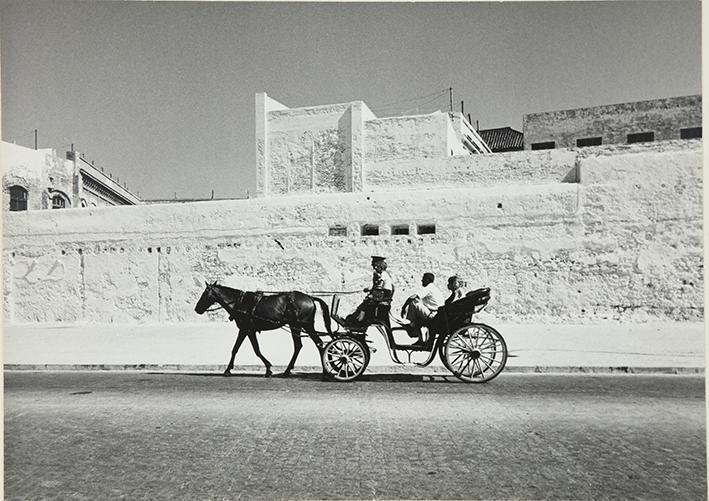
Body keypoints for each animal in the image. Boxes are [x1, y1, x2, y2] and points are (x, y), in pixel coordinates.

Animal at [194, 282, 332, 376]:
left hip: (299, 325)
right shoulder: (246, 330)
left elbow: (254, 350)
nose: (197, 309)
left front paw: (268, 368)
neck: (240, 303)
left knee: (304, 345)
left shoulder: (247, 330)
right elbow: (237, 349)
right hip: (304, 326)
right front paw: (229, 369)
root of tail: (310, 298)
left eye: (204, 294)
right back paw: (322, 371)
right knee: (316, 344)